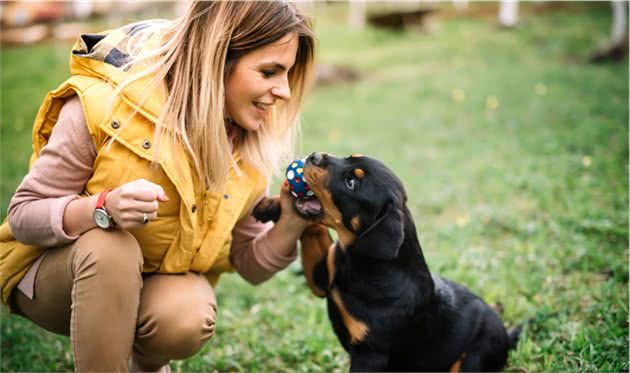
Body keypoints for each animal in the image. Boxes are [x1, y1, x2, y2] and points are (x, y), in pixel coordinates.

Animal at [254, 152, 520, 372]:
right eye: (349, 157)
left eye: (351, 183)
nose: (313, 156)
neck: (362, 262)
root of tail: (507, 336)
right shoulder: (322, 278)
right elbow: (313, 227)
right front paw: (273, 205)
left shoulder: (370, 355)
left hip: (473, 356)